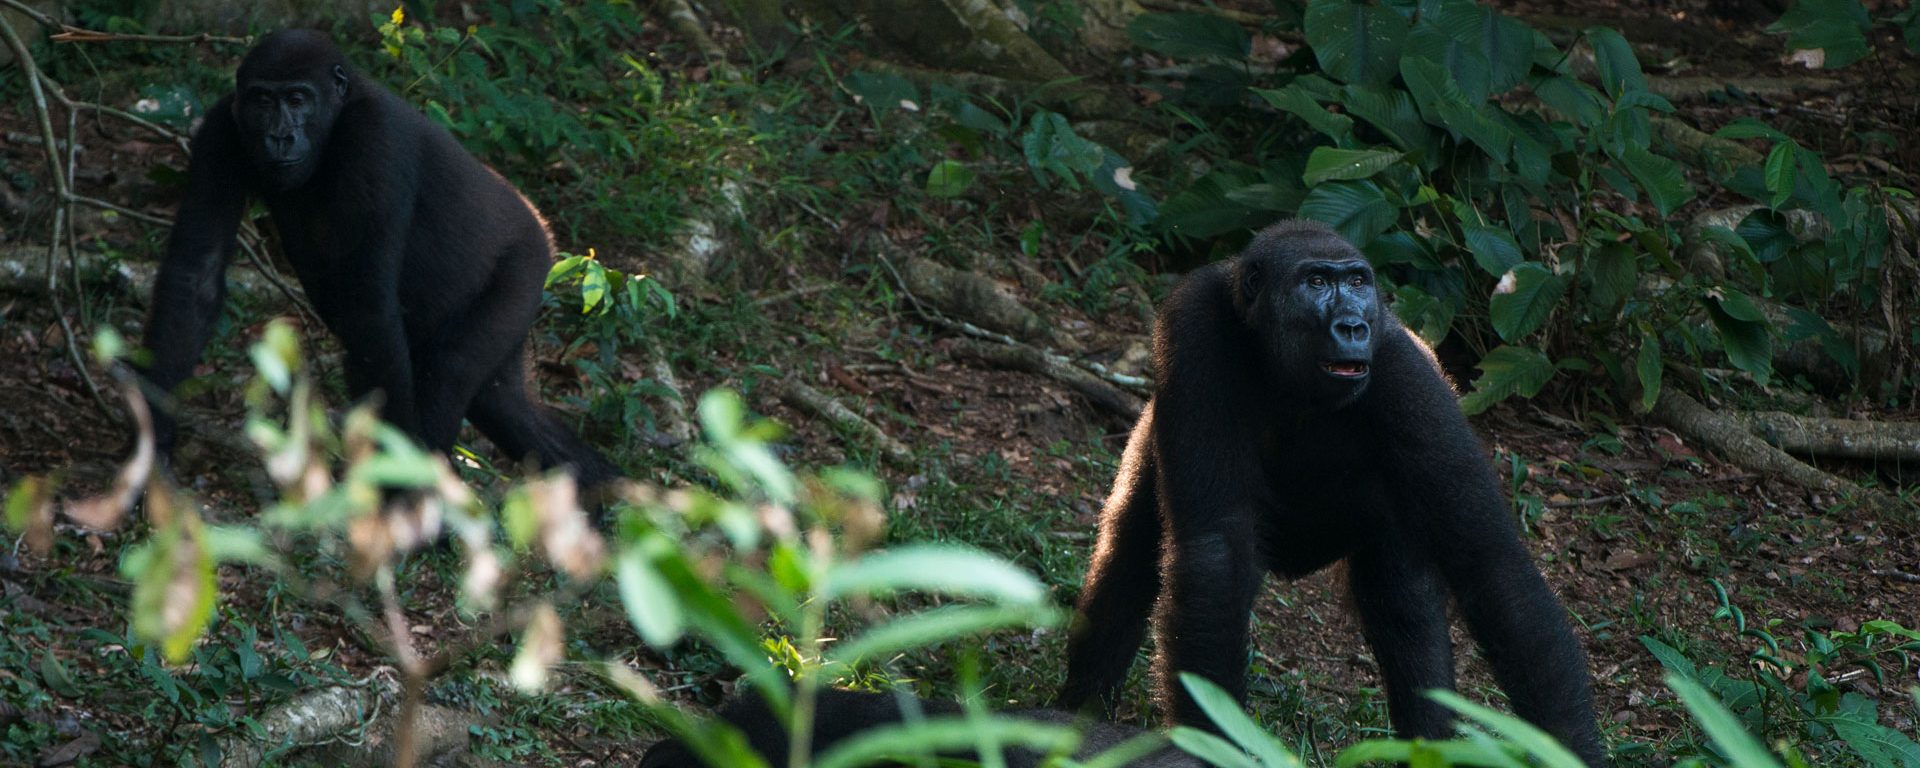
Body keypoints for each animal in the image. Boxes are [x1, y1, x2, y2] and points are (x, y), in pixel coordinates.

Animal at [145, 30, 618, 491]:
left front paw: (399, 485)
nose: (279, 136)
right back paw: (603, 492)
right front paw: (153, 441)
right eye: (262, 101)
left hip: (525, 266)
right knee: (502, 402)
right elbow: (197, 274)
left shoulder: (374, 141)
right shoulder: (221, 128)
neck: (337, 115)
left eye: (297, 100)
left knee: (450, 371)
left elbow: (368, 312)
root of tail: (543, 228)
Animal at [1059, 218, 1612, 764]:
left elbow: (1492, 564)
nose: (1352, 325)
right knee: (1129, 555)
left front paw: (1569, 748)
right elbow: (1215, 553)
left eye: (1359, 283)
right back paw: (1078, 715)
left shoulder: (1406, 373)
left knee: (1403, 601)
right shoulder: (1194, 324)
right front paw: (1210, 741)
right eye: (1318, 282)